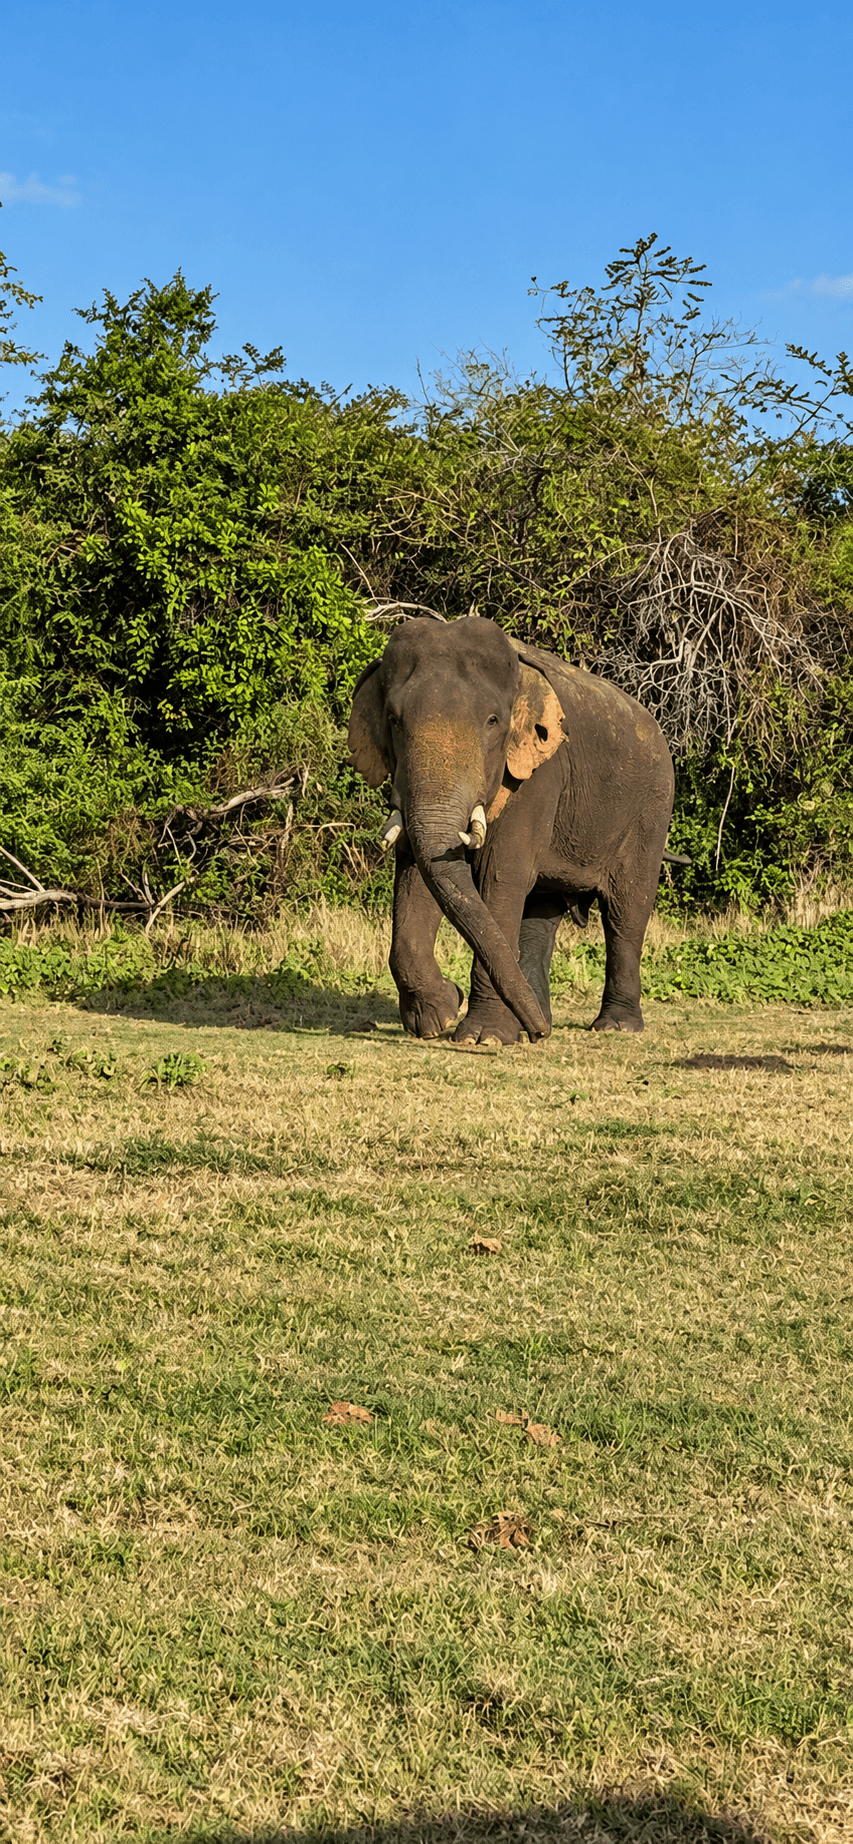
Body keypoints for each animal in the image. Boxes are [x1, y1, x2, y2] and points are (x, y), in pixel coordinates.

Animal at [347, 616, 675, 1043]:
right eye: (393, 721)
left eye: (492, 722)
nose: (540, 1035)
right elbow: (415, 874)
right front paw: (438, 1018)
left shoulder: (537, 777)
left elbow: (499, 877)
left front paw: (482, 1036)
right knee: (542, 912)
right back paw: (537, 1018)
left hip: (650, 812)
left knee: (626, 912)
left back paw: (614, 1027)